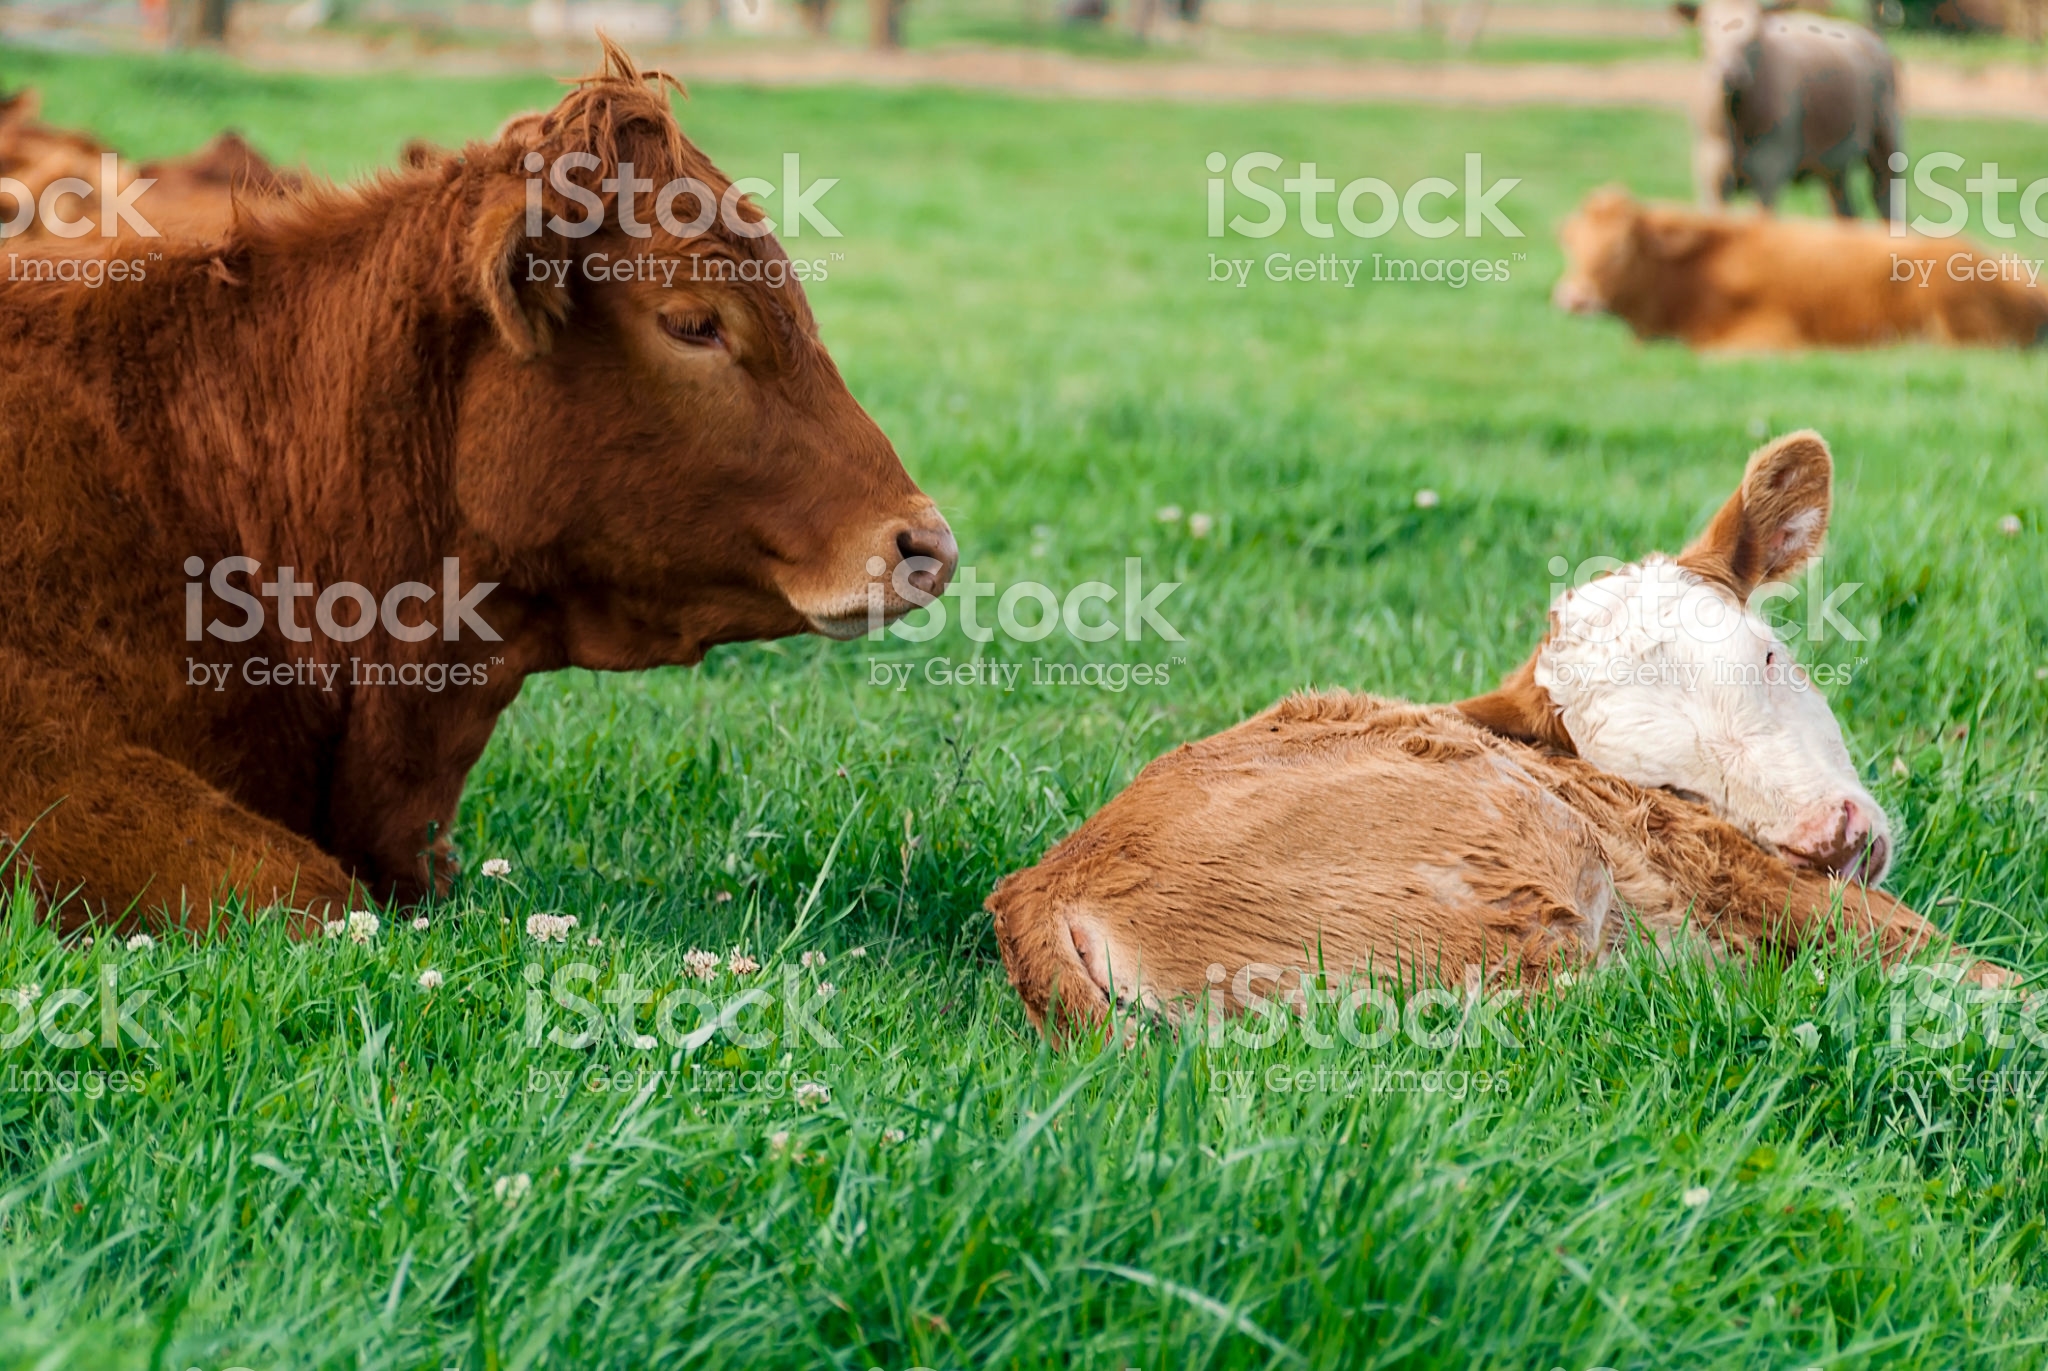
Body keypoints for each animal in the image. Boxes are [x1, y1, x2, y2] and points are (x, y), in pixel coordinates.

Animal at [991, 432, 1998, 1032]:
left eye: (1769, 653)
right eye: (1662, 783)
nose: (1830, 839)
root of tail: (1039, 885)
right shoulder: (1772, 886)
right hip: (1525, 880)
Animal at [1679, 0, 1900, 218]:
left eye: (1755, 36)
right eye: (1704, 33)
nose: (1729, 74)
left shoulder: (1769, 169)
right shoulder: (1711, 173)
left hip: (1886, 140)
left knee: (1885, 197)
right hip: (1834, 162)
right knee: (1845, 210)